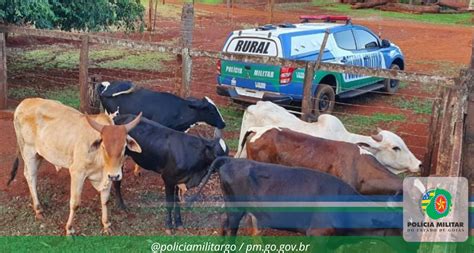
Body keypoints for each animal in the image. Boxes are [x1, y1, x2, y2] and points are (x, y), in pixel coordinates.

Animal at [8, 98, 142, 235]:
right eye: (104, 146)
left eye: (124, 147)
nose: (115, 176)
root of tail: (24, 102)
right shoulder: (77, 173)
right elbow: (75, 203)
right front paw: (69, 229)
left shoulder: (107, 176)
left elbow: (105, 200)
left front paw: (106, 225)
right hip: (28, 151)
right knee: (30, 176)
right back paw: (38, 209)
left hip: (39, 154)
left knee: (32, 176)